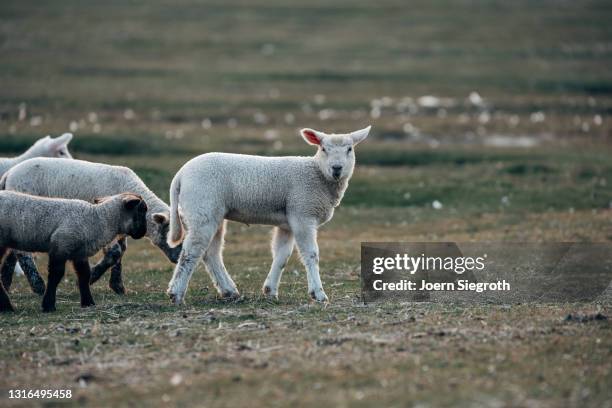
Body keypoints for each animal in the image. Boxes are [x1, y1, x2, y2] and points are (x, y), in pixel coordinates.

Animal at [0, 156, 182, 294]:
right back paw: (38, 286)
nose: (177, 259)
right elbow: (115, 252)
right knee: (23, 253)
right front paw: (92, 278)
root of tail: (8, 174)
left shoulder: (121, 227)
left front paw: (117, 286)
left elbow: (121, 251)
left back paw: (7, 283)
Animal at [0, 191, 148, 312]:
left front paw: (88, 303)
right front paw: (48, 305)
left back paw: (6, 307)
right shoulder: (61, 245)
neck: (98, 220)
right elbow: (56, 275)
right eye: (142, 210)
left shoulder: (79, 253)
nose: (142, 233)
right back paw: (7, 307)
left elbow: (84, 276)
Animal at [165, 126, 370, 304]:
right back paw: (176, 294)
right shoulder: (303, 213)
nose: (337, 168)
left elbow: (281, 255)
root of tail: (180, 175)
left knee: (211, 253)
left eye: (350, 149)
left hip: (212, 213)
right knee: (191, 252)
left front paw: (270, 291)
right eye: (323, 148)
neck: (317, 174)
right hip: (202, 208)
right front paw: (318, 294)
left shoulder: (289, 221)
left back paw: (229, 291)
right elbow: (311, 254)